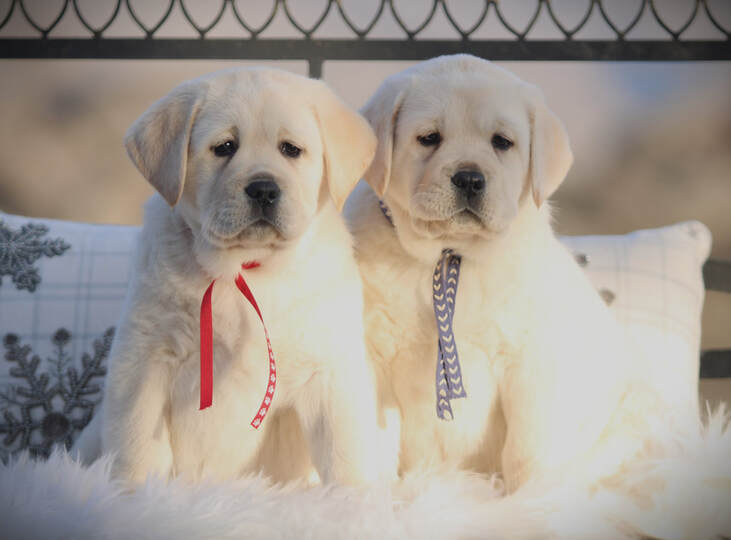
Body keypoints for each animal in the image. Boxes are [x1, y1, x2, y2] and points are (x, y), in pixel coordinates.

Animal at [78, 66, 388, 486]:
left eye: (291, 149)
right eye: (224, 147)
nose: (263, 189)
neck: (247, 268)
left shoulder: (330, 367)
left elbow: (345, 451)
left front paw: (356, 499)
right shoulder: (146, 356)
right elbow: (136, 441)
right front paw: (132, 493)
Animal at [346, 54, 684, 494]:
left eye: (502, 142)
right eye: (429, 138)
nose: (470, 178)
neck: (448, 255)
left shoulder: (531, 361)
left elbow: (527, 450)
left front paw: (528, 501)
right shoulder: (372, 359)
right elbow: (373, 441)